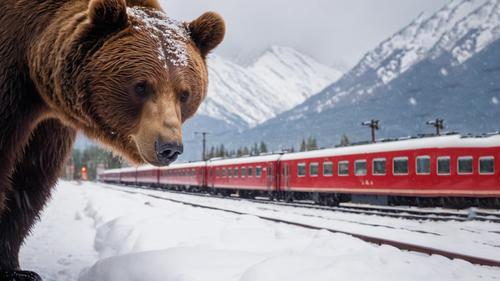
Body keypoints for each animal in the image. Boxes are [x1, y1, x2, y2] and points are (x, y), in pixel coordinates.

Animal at [0, 0, 225, 276]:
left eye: (185, 94)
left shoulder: (50, 124)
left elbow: (32, 176)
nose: (168, 147)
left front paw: (15, 267)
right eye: (140, 86)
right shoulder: (12, 85)